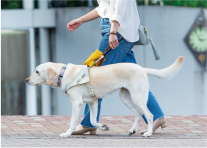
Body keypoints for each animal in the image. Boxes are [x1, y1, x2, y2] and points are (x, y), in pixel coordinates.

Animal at [26, 56, 184, 138]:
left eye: (37, 71)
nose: (26, 80)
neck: (63, 74)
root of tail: (141, 68)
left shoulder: (76, 103)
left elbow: (72, 122)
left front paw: (67, 133)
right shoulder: (93, 102)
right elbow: (92, 120)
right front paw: (103, 127)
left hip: (138, 98)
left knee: (149, 115)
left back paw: (149, 133)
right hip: (126, 98)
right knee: (138, 114)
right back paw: (132, 130)